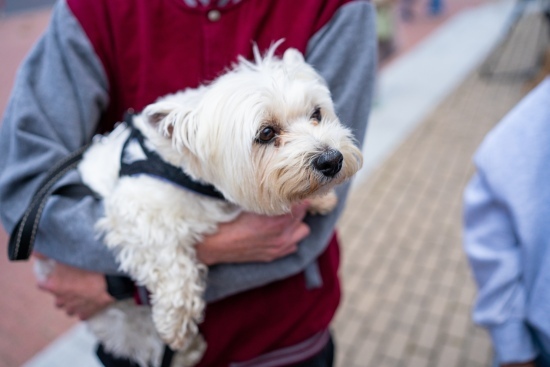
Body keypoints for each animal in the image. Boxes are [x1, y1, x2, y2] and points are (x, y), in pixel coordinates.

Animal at [61, 45, 362, 367]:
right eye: (266, 133)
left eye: (316, 114)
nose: (331, 160)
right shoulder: (133, 207)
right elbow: (168, 257)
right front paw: (176, 319)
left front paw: (320, 199)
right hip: (121, 319)